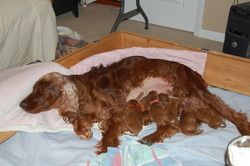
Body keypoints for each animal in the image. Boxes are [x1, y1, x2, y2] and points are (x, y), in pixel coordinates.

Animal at [19, 56, 250, 154]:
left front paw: (104, 147)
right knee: (172, 126)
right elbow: (81, 119)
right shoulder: (97, 111)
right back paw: (151, 137)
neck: (83, 91)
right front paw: (83, 129)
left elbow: (109, 131)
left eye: (39, 90)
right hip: (183, 98)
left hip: (194, 92)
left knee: (232, 113)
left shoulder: (118, 109)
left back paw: (244, 129)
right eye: (32, 89)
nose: (21, 104)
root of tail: (192, 71)